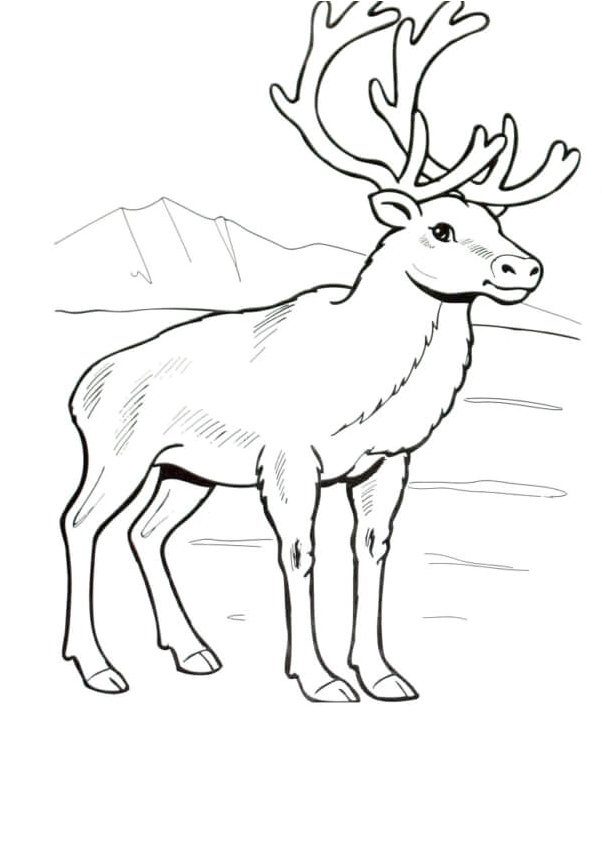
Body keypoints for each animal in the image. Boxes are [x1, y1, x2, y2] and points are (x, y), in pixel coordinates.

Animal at [61, 1, 580, 702]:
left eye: (497, 223)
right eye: (441, 228)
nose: (523, 268)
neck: (363, 383)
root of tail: (83, 387)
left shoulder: (387, 460)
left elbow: (372, 547)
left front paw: (382, 674)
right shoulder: (288, 457)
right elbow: (299, 551)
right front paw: (319, 678)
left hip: (185, 470)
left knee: (146, 531)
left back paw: (193, 651)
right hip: (119, 452)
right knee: (81, 522)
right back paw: (97, 665)